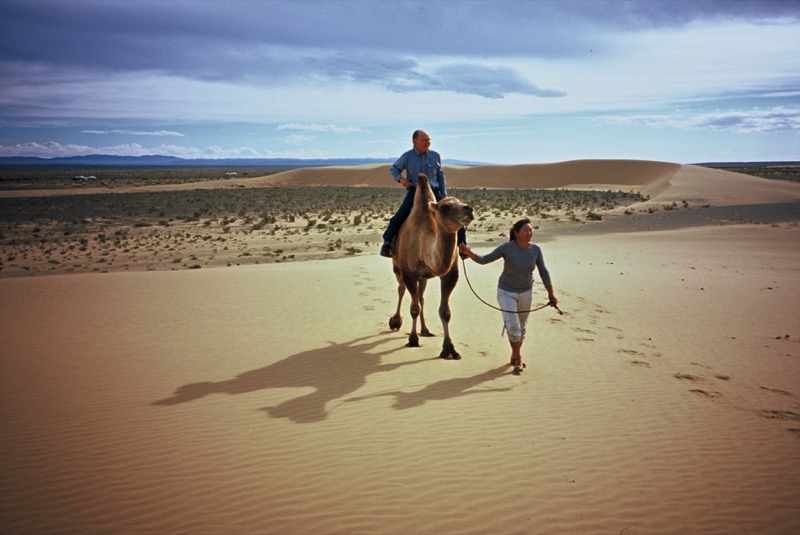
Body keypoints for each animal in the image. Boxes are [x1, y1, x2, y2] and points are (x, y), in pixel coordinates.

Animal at [390, 174, 476, 362]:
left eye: (460, 201)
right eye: (445, 207)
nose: (469, 209)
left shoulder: (450, 274)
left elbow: (445, 311)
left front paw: (449, 349)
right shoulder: (409, 273)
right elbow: (414, 308)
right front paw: (412, 340)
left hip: (424, 277)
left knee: (421, 297)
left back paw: (425, 330)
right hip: (397, 267)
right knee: (401, 289)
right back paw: (395, 322)